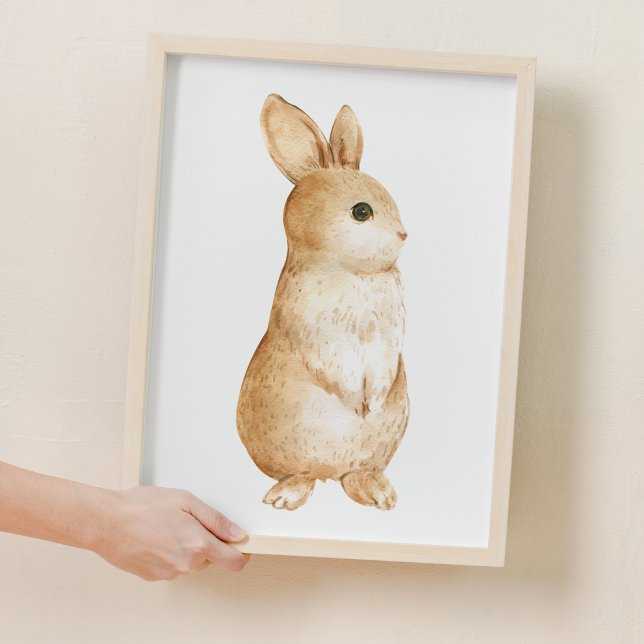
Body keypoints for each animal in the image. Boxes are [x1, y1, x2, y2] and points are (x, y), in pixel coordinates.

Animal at [236, 94, 409, 511]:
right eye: (362, 211)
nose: (404, 234)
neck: (349, 270)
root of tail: (332, 473)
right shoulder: (317, 336)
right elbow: (337, 370)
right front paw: (355, 404)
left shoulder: (386, 346)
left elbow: (380, 371)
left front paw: (371, 405)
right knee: (305, 473)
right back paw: (285, 497)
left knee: (355, 473)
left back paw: (377, 494)